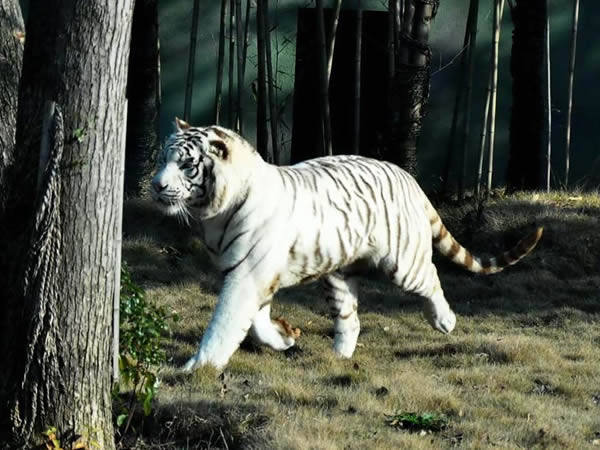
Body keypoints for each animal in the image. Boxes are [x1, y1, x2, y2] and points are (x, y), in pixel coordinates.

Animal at [151, 118, 544, 370]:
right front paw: (285, 338)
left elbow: (224, 323)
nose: (155, 185)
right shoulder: (248, 273)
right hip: (337, 274)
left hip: (402, 262)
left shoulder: (247, 275)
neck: (213, 213)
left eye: (186, 165)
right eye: (162, 159)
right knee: (350, 320)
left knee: (431, 278)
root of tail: (406, 176)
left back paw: (444, 321)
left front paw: (197, 367)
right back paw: (338, 357)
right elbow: (257, 321)